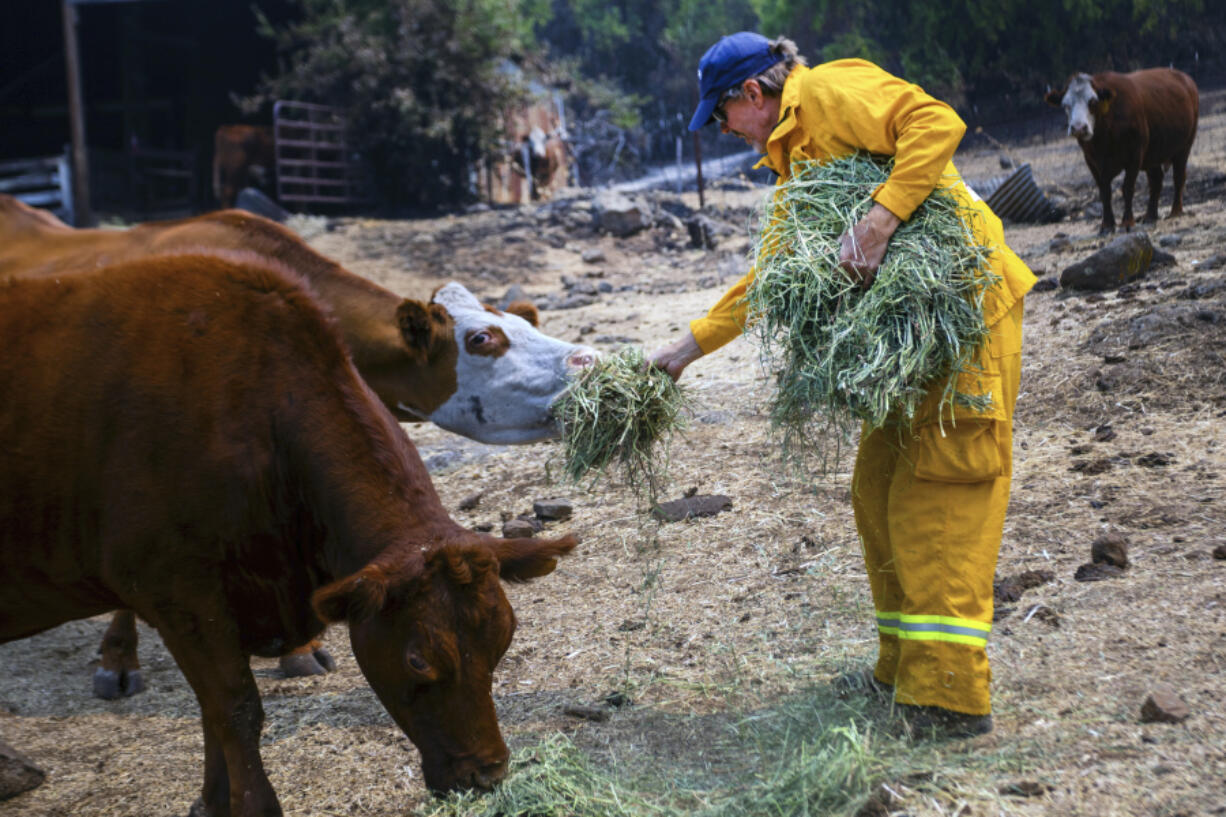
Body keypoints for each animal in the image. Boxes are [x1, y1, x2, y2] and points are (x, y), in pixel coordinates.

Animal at [0, 250, 578, 809]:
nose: (487, 773)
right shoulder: (175, 591)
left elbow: (214, 711)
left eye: (503, 639)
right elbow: (235, 709)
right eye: (418, 658)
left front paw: (212, 802)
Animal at [1044, 66, 1196, 234]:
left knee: (1179, 177)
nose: (1078, 128)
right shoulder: (1091, 160)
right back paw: (1150, 215)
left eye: (1092, 101)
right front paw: (1107, 225)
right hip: (1152, 155)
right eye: (1065, 105)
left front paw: (1127, 222)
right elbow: (1105, 192)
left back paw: (1175, 211)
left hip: (1184, 147)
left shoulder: (1135, 155)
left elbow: (1127, 188)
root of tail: (1184, 78)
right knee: (1156, 180)